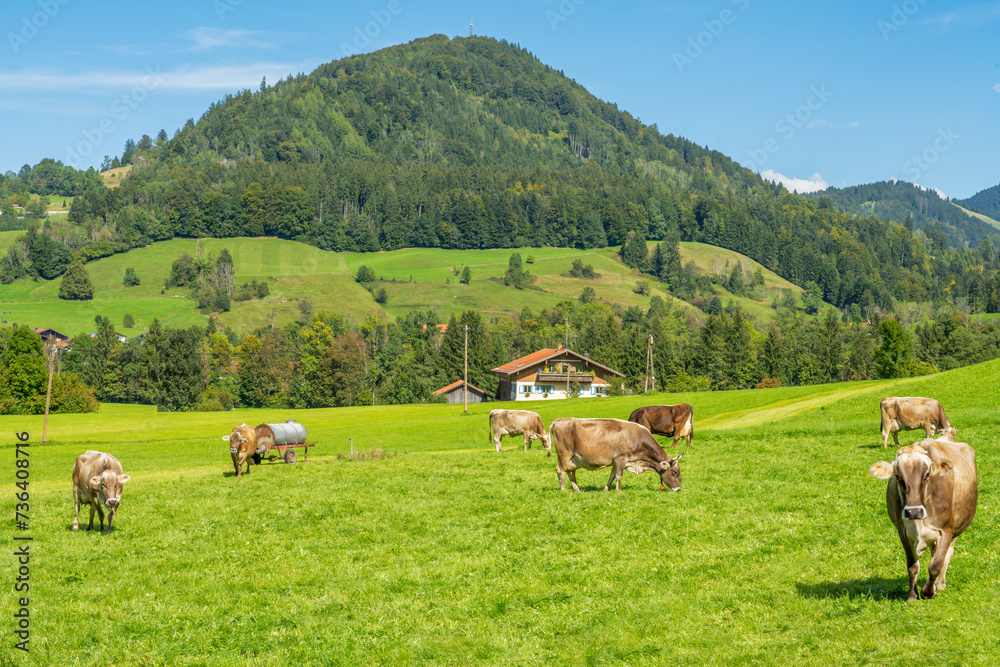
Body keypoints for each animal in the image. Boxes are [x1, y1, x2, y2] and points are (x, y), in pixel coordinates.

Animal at [550, 417, 683, 492]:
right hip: (564, 455)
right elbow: (619, 475)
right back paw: (563, 490)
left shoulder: (616, 461)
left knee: (571, 473)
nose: (679, 489)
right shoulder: (621, 458)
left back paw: (577, 490)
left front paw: (606, 489)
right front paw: (618, 491)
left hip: (573, 460)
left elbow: (612, 475)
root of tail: (559, 420)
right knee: (560, 471)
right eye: (675, 472)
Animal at [869, 435, 978, 601]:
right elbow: (913, 566)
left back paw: (939, 584)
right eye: (897, 476)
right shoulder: (902, 531)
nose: (913, 512)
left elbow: (936, 565)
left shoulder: (946, 529)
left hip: (955, 530)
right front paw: (912, 595)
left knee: (946, 554)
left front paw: (928, 591)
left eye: (926, 475)